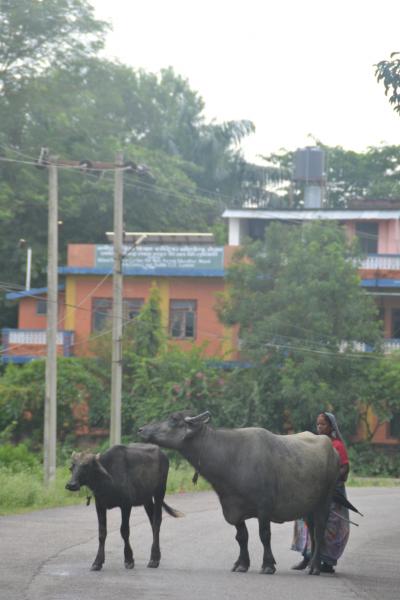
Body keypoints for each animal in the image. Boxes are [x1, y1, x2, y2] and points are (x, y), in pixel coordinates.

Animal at [139, 410, 340, 576]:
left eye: (173, 419)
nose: (141, 429)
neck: (231, 458)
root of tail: (330, 448)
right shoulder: (233, 507)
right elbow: (241, 537)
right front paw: (242, 564)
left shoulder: (264, 507)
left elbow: (264, 534)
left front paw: (268, 565)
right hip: (308, 506)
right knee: (312, 530)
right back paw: (311, 564)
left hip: (326, 499)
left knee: (319, 531)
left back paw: (315, 567)